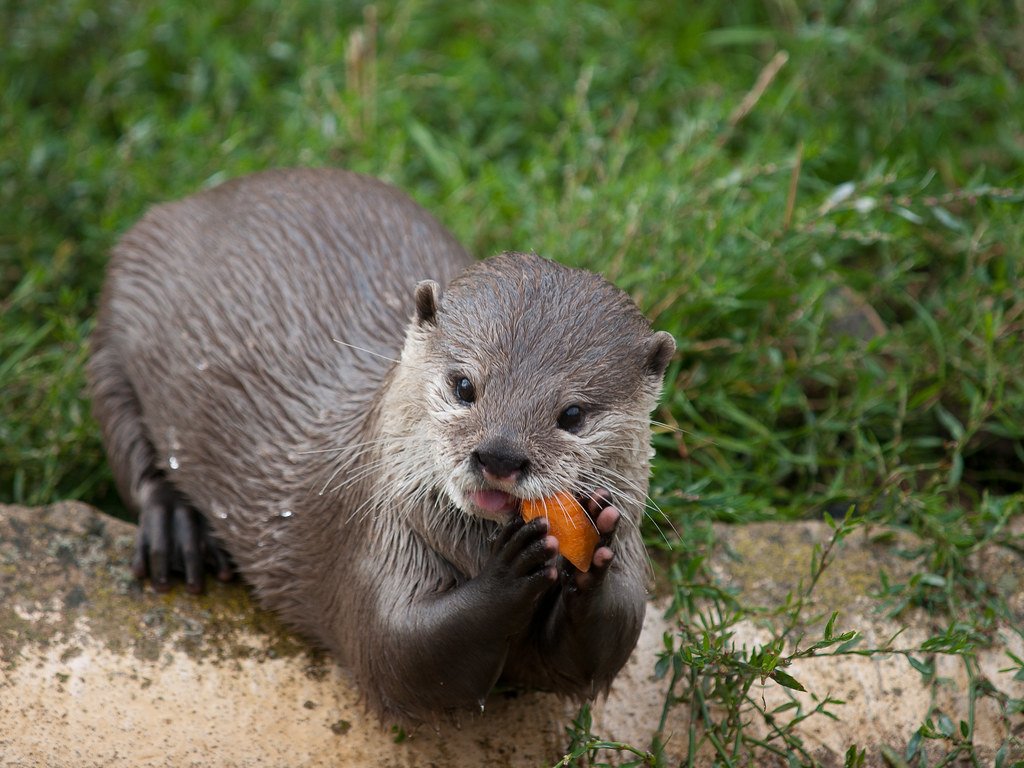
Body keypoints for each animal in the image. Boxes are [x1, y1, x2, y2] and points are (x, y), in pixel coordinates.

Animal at [87, 168, 675, 723]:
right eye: (465, 385)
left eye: (572, 414)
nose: (500, 456)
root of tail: (202, 195)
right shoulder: (369, 541)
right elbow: (400, 653)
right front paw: (510, 569)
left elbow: (602, 645)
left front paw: (593, 556)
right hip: (116, 321)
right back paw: (175, 529)